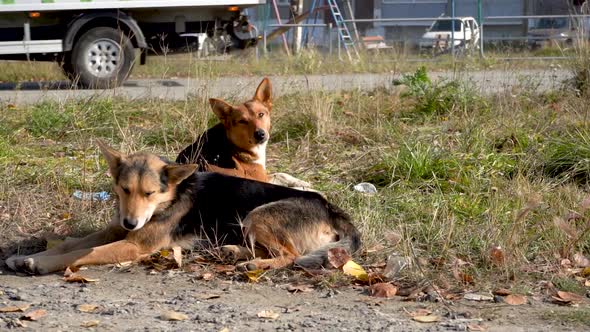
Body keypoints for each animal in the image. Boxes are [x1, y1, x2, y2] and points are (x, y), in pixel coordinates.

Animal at [4, 141, 360, 274]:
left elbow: (79, 254)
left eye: (149, 193)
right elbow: (69, 243)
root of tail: (331, 208)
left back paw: (253, 264)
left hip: (257, 215)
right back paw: (233, 252)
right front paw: (24, 256)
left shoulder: (133, 245)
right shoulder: (113, 229)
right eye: (124, 189)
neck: (169, 197)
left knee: (290, 255)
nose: (131, 222)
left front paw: (40, 263)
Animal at [176, 76, 312, 189]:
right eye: (242, 121)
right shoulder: (259, 177)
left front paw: (301, 182)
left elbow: (282, 174)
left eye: (261, 114)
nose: (260, 134)